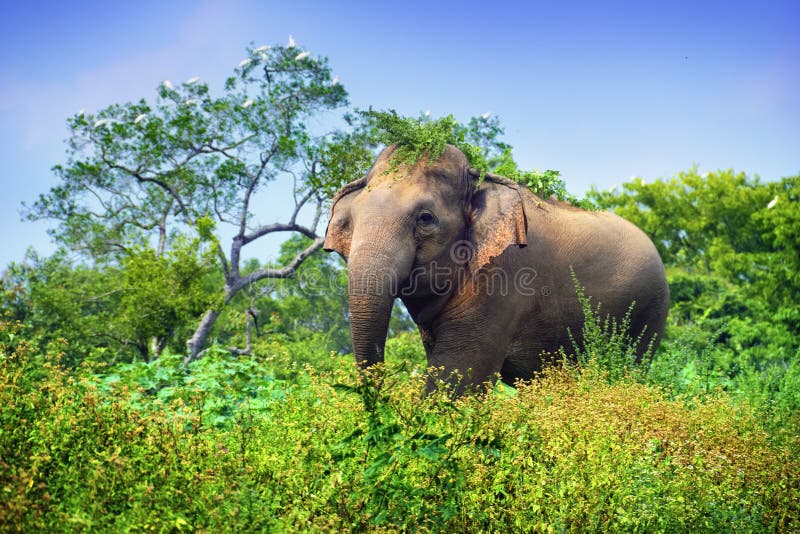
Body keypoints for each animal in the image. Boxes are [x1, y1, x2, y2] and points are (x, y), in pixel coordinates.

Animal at [324, 144, 668, 392]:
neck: (480, 180)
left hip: (650, 311)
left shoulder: (503, 278)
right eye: (351, 221)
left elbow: (458, 379)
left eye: (425, 218)